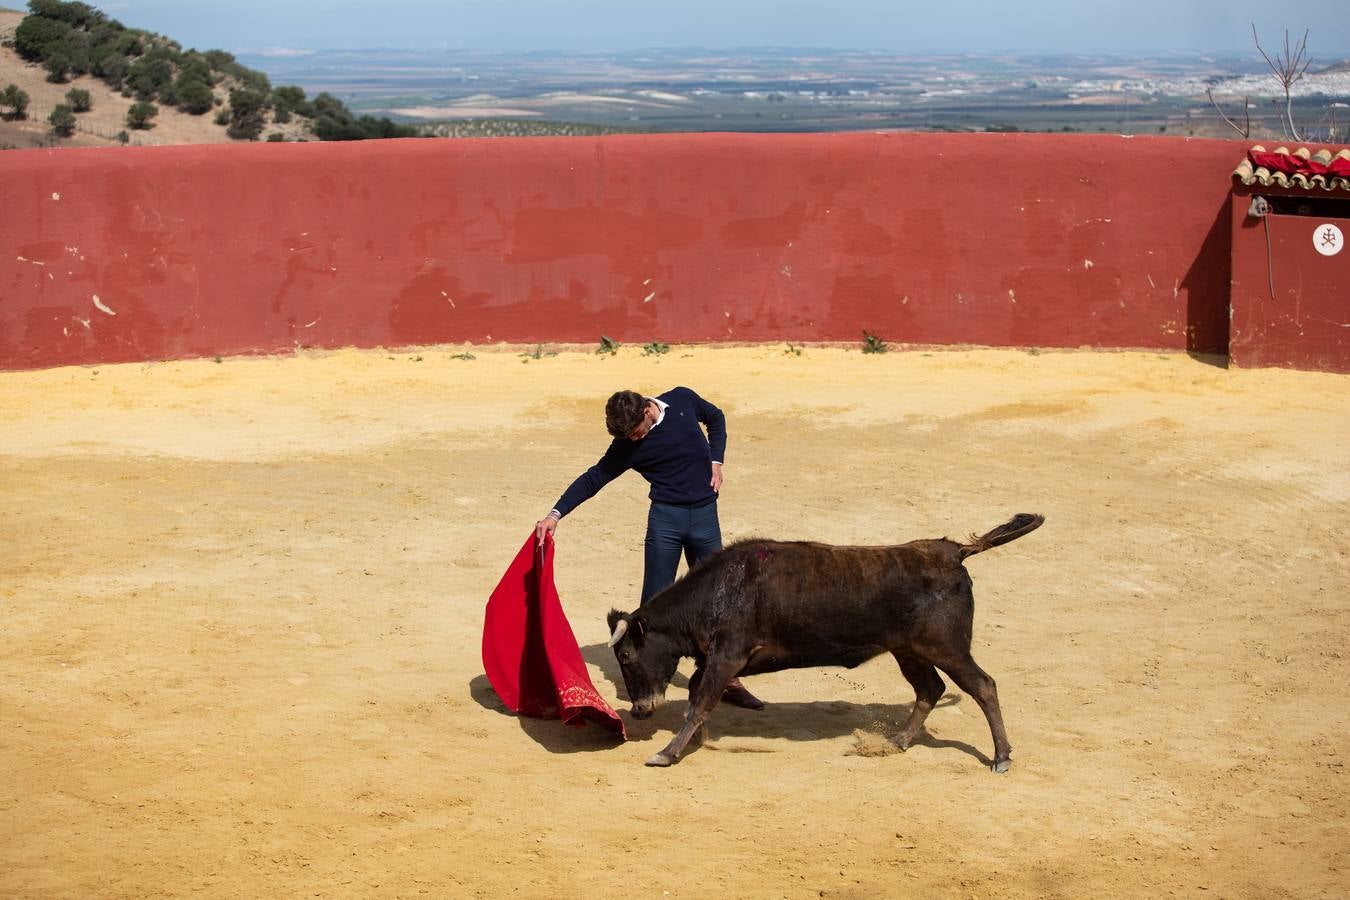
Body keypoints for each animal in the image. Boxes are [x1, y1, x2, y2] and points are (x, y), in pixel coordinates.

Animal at [607, 512, 1047, 777]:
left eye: (626, 655)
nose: (640, 711)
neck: (717, 591)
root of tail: (954, 551)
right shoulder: (717, 660)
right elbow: (699, 697)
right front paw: (696, 741)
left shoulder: (726, 657)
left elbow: (699, 702)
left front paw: (667, 752)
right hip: (908, 650)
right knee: (930, 689)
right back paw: (897, 742)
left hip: (947, 647)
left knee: (982, 686)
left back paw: (1001, 757)